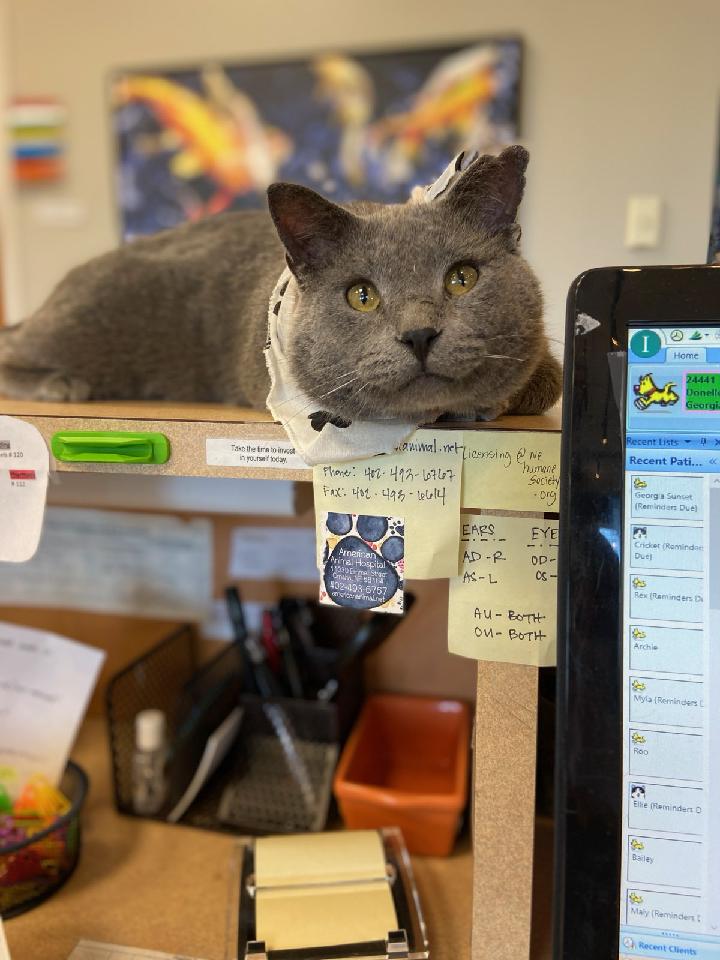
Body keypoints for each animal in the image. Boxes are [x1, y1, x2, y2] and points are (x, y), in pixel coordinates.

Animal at [0, 144, 564, 422]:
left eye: (462, 278)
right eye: (362, 296)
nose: (419, 334)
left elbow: (545, 382)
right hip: (85, 322)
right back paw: (60, 384)